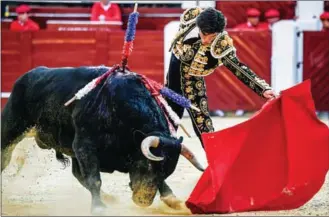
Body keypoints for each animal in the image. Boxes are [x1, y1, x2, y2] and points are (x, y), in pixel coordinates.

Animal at [1, 65, 204, 214]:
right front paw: (98, 208)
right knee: (4, 157)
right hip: (11, 128)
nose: (143, 201)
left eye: (167, 171)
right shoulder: (84, 147)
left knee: (77, 174)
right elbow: (94, 179)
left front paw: (173, 200)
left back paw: (109, 198)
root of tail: (27, 76)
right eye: (147, 165)